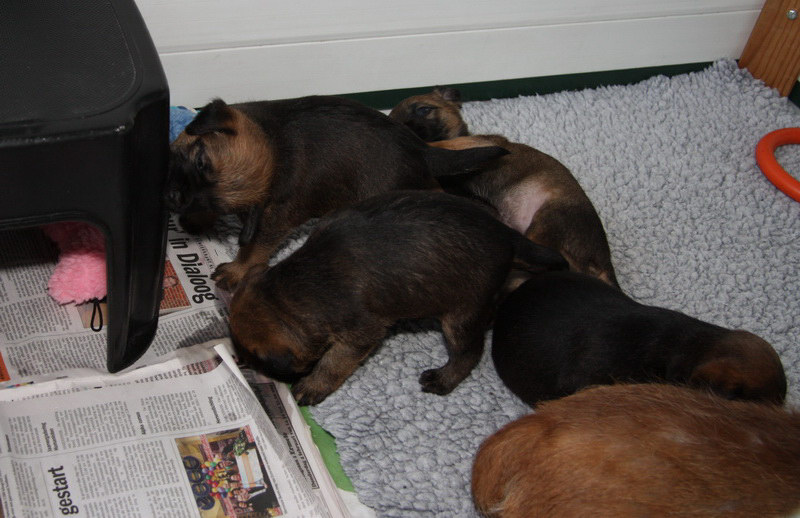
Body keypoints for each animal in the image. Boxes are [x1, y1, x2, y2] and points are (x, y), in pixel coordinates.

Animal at [166, 96, 507, 291]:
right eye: (199, 160)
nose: (174, 199)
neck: (273, 144)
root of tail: (422, 150)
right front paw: (197, 219)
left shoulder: (273, 218)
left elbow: (254, 247)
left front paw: (237, 270)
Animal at [229, 190, 568, 406]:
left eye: (255, 358)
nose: (240, 361)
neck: (294, 289)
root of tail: (506, 236)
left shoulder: (360, 335)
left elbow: (333, 363)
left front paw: (313, 386)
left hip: (461, 314)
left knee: (469, 353)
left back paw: (443, 379)